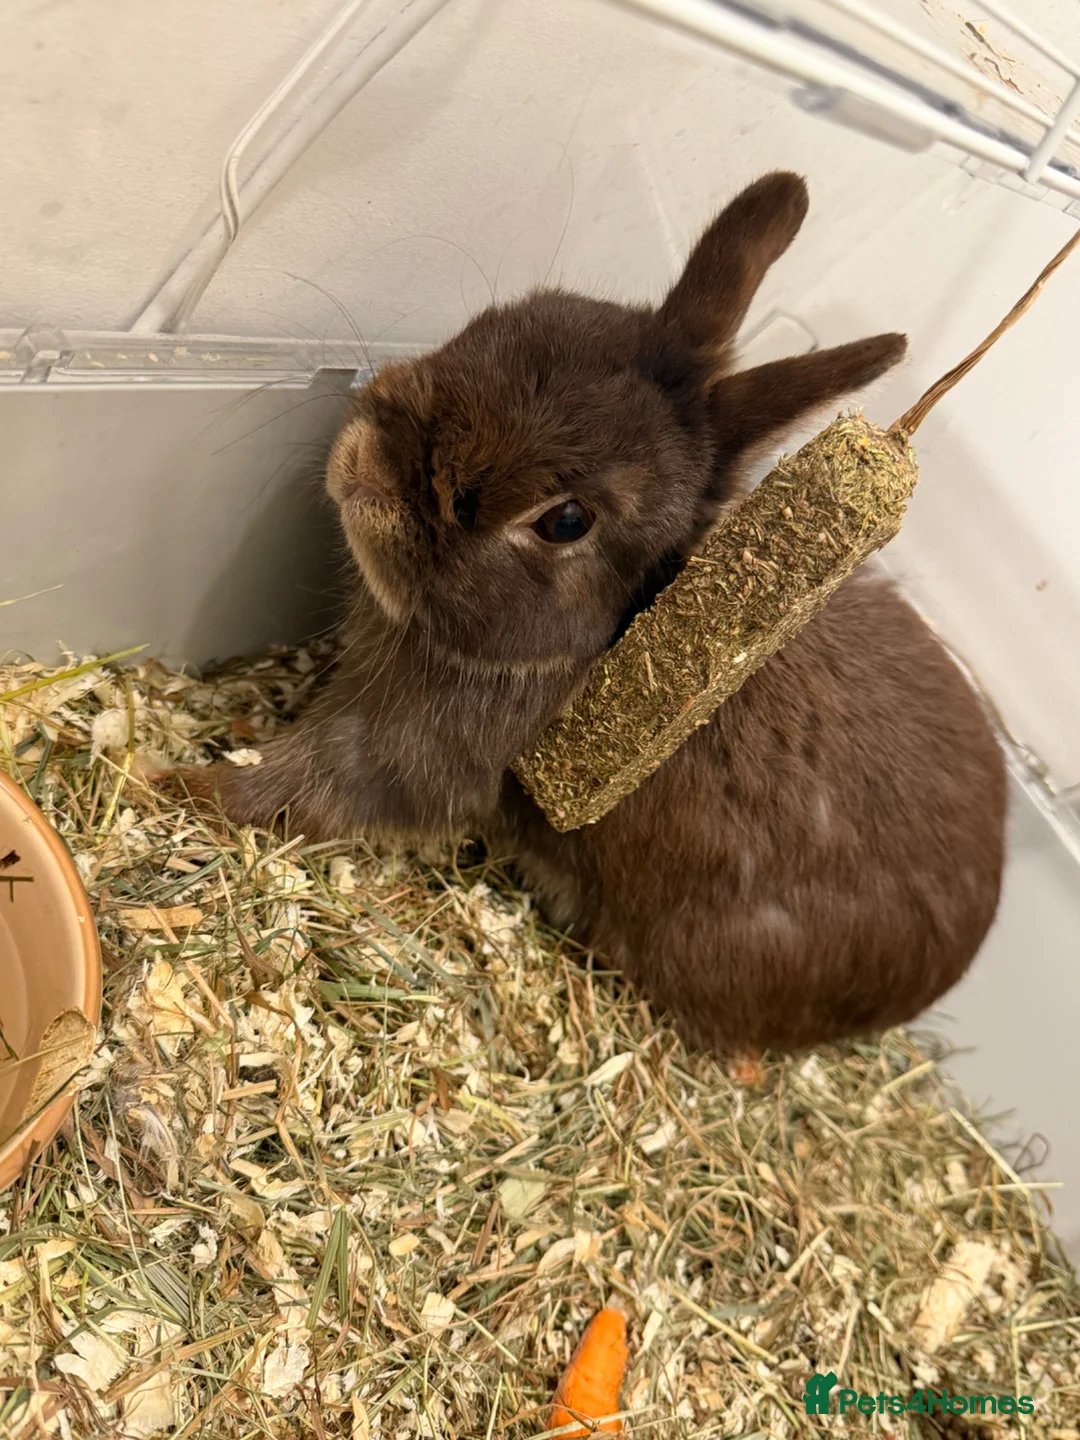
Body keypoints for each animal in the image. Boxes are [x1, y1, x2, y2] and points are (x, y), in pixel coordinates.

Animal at [172, 172, 1007, 1056]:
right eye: (502, 320)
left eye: (566, 521)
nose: (372, 456)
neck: (605, 639)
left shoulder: (404, 760)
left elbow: (299, 787)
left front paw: (179, 784)